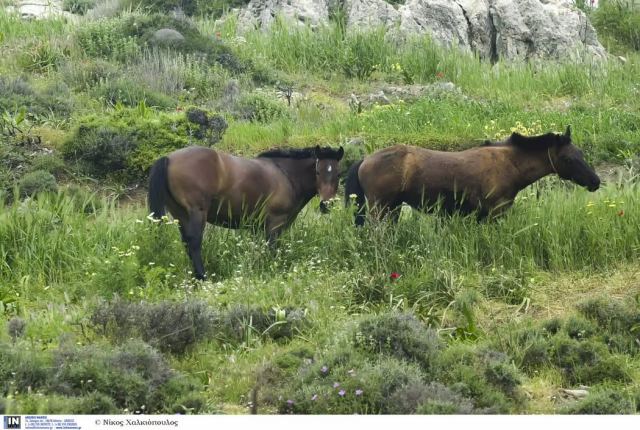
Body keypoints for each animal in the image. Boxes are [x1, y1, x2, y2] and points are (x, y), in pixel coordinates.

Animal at [148, 145, 342, 278]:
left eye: (338, 174)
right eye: (318, 172)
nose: (326, 205)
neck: (285, 173)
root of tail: (169, 158)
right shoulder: (274, 224)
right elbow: (272, 249)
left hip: (181, 216)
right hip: (196, 214)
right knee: (194, 243)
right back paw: (203, 277)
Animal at [344, 126, 600, 225]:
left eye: (581, 153)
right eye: (568, 159)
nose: (595, 182)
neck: (510, 164)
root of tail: (364, 160)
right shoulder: (496, 213)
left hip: (392, 208)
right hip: (380, 208)